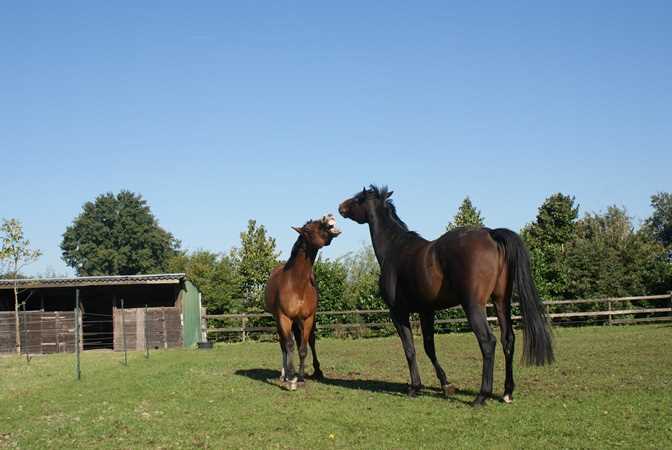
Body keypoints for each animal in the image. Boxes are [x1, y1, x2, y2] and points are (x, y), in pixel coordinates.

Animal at [264, 214, 342, 390]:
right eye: (308, 229)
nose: (330, 218)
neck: (296, 284)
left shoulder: (307, 319)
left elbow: (303, 348)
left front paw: (300, 378)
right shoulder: (284, 318)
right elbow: (289, 346)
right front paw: (291, 379)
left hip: (299, 321)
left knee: (306, 342)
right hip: (281, 320)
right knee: (283, 345)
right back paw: (284, 375)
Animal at [338, 186, 552, 408]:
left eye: (358, 198)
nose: (340, 207)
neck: (395, 248)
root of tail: (491, 234)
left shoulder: (398, 313)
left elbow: (410, 349)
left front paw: (415, 387)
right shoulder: (426, 311)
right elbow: (429, 347)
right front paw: (446, 385)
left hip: (474, 306)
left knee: (488, 341)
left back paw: (481, 396)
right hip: (501, 302)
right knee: (507, 339)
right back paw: (507, 393)